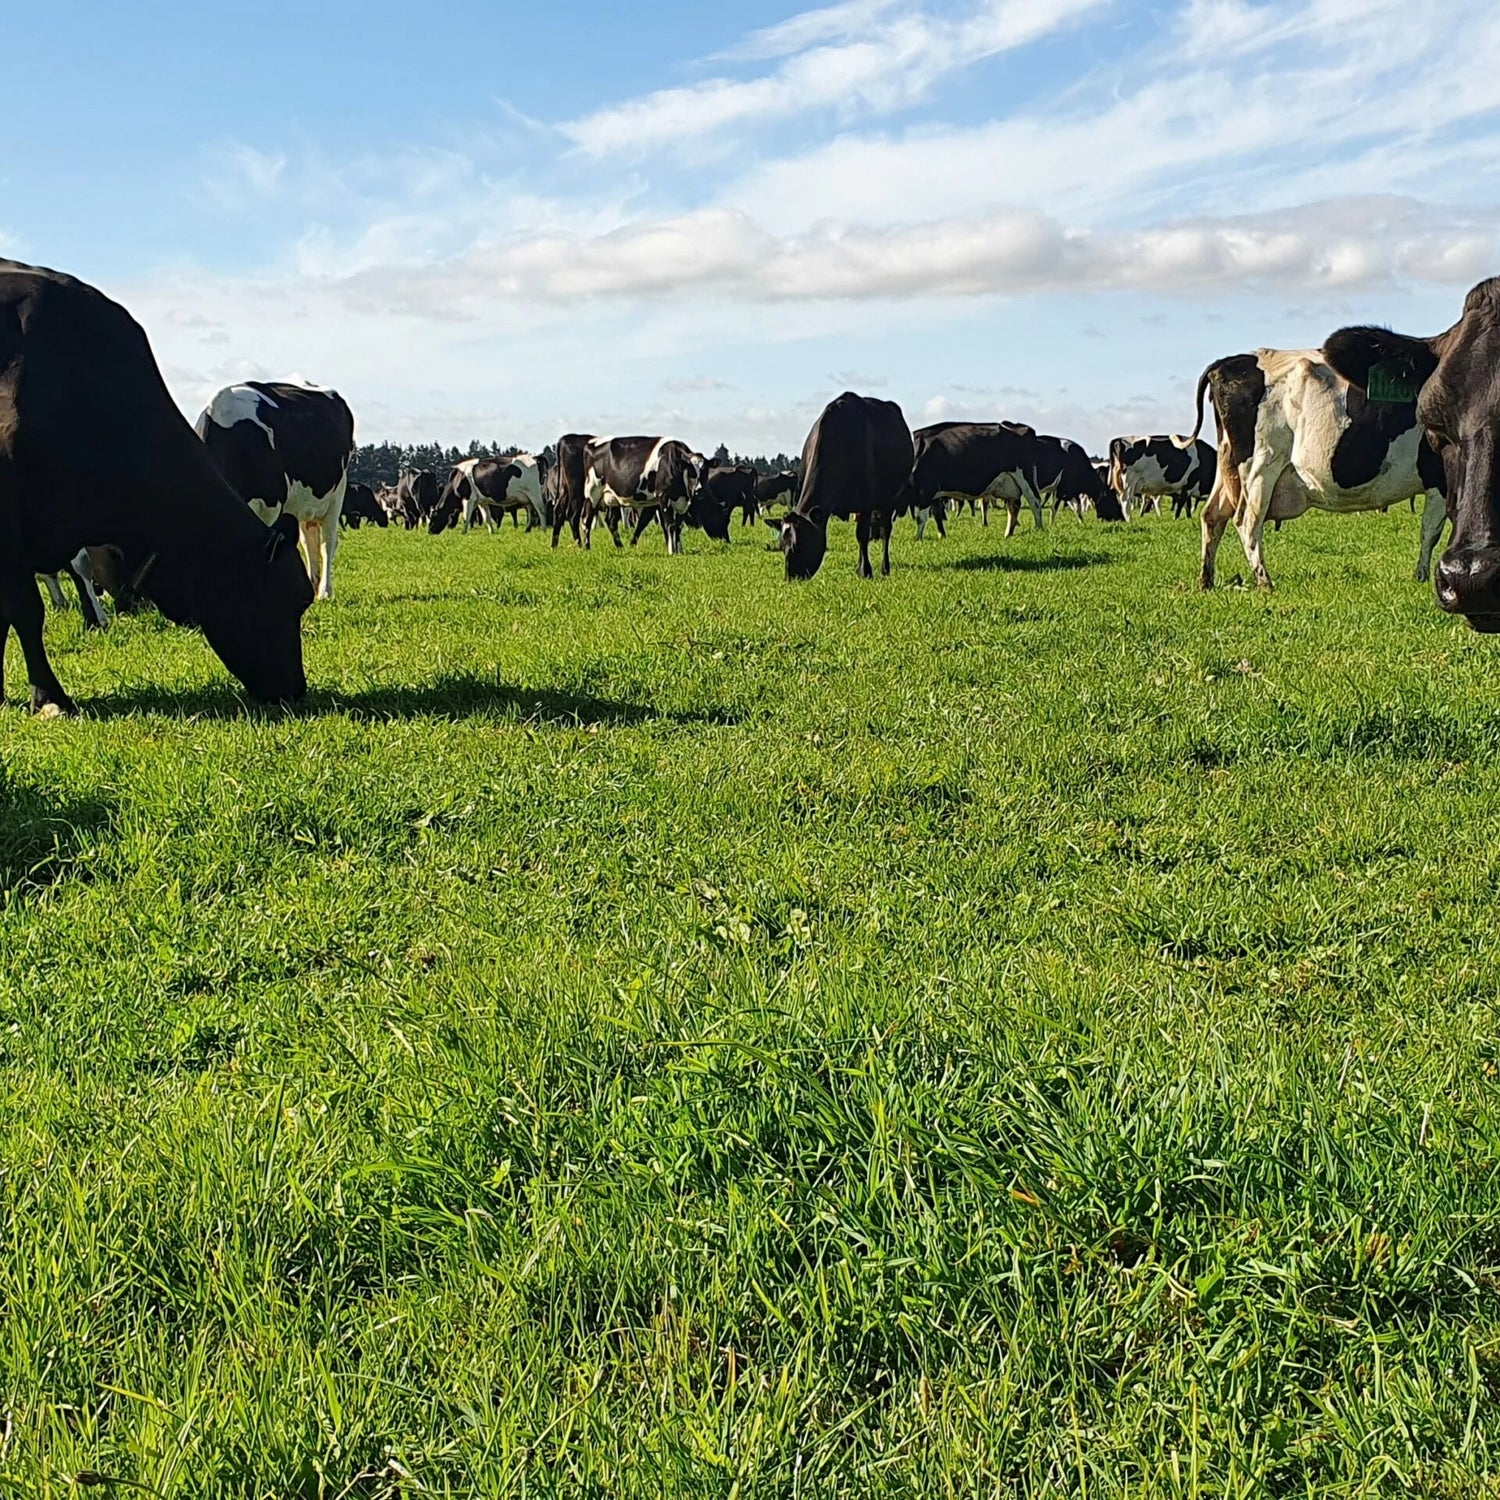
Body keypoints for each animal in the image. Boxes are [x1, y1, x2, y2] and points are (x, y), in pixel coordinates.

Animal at [197, 381, 355, 601]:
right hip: (305, 504)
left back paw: (324, 591)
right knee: (309, 541)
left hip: (336, 494)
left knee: (327, 542)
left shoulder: (269, 506)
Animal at [767, 392, 913, 580]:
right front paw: (861, 568)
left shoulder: (866, 501)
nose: (790, 578)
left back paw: (884, 568)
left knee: (885, 530)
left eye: (800, 545)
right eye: (781, 546)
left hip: (890, 498)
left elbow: (862, 534)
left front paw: (866, 571)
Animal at [1192, 348, 1446, 592]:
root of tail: (1228, 361)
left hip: (1228, 466)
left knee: (1212, 516)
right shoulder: (1440, 482)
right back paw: (1264, 583)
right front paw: (1423, 578)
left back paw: (1206, 581)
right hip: (1260, 468)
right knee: (1247, 523)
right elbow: (1431, 531)